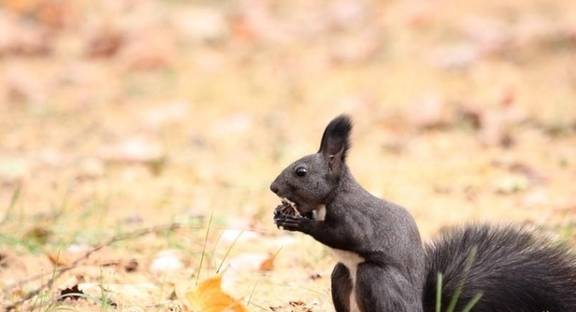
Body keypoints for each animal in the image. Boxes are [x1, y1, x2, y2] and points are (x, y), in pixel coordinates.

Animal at [270, 115, 576, 312]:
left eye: (301, 172)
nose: (273, 187)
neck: (332, 197)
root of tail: (418, 308)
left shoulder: (354, 217)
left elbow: (341, 234)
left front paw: (296, 222)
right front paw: (280, 213)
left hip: (375, 279)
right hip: (341, 277)